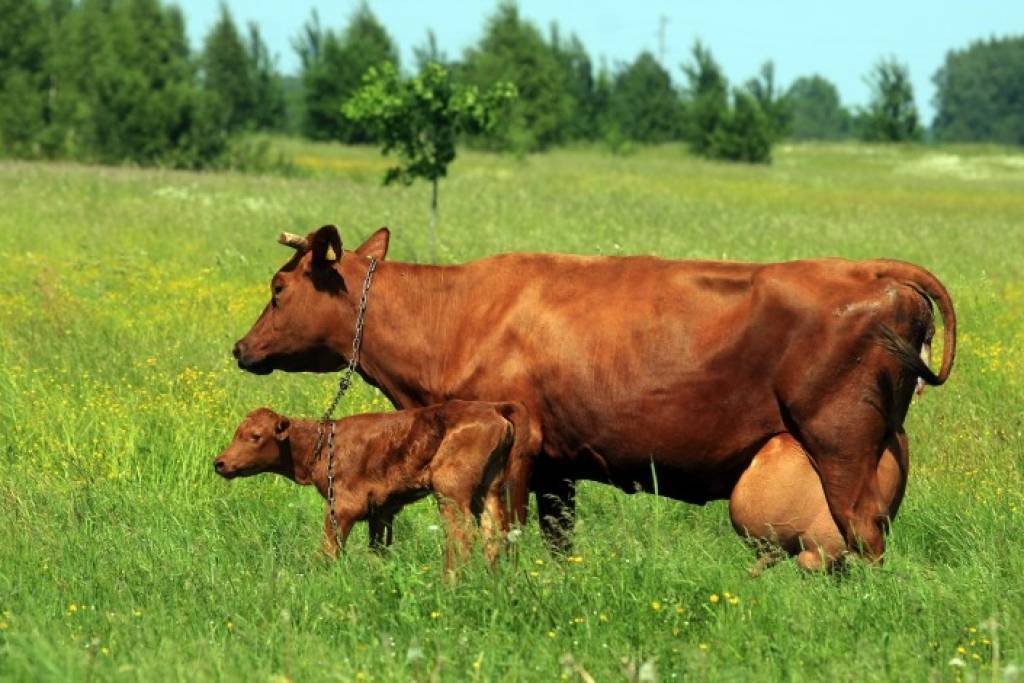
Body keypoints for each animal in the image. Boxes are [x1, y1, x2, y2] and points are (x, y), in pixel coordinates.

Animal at [211, 401, 532, 573]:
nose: (219, 463)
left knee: (461, 535)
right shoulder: (381, 512)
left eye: (255, 436)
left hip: (451, 490)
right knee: (494, 533)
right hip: (489, 490)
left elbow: (329, 547)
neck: (322, 445)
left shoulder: (343, 506)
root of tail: (494, 408)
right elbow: (377, 550)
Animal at [232, 227, 950, 565]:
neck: (452, 316)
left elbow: (506, 532)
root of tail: (874, 271)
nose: (241, 348)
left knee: (863, 531)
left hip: (841, 444)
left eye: (277, 287)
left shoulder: (521, 451)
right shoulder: (558, 465)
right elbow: (555, 540)